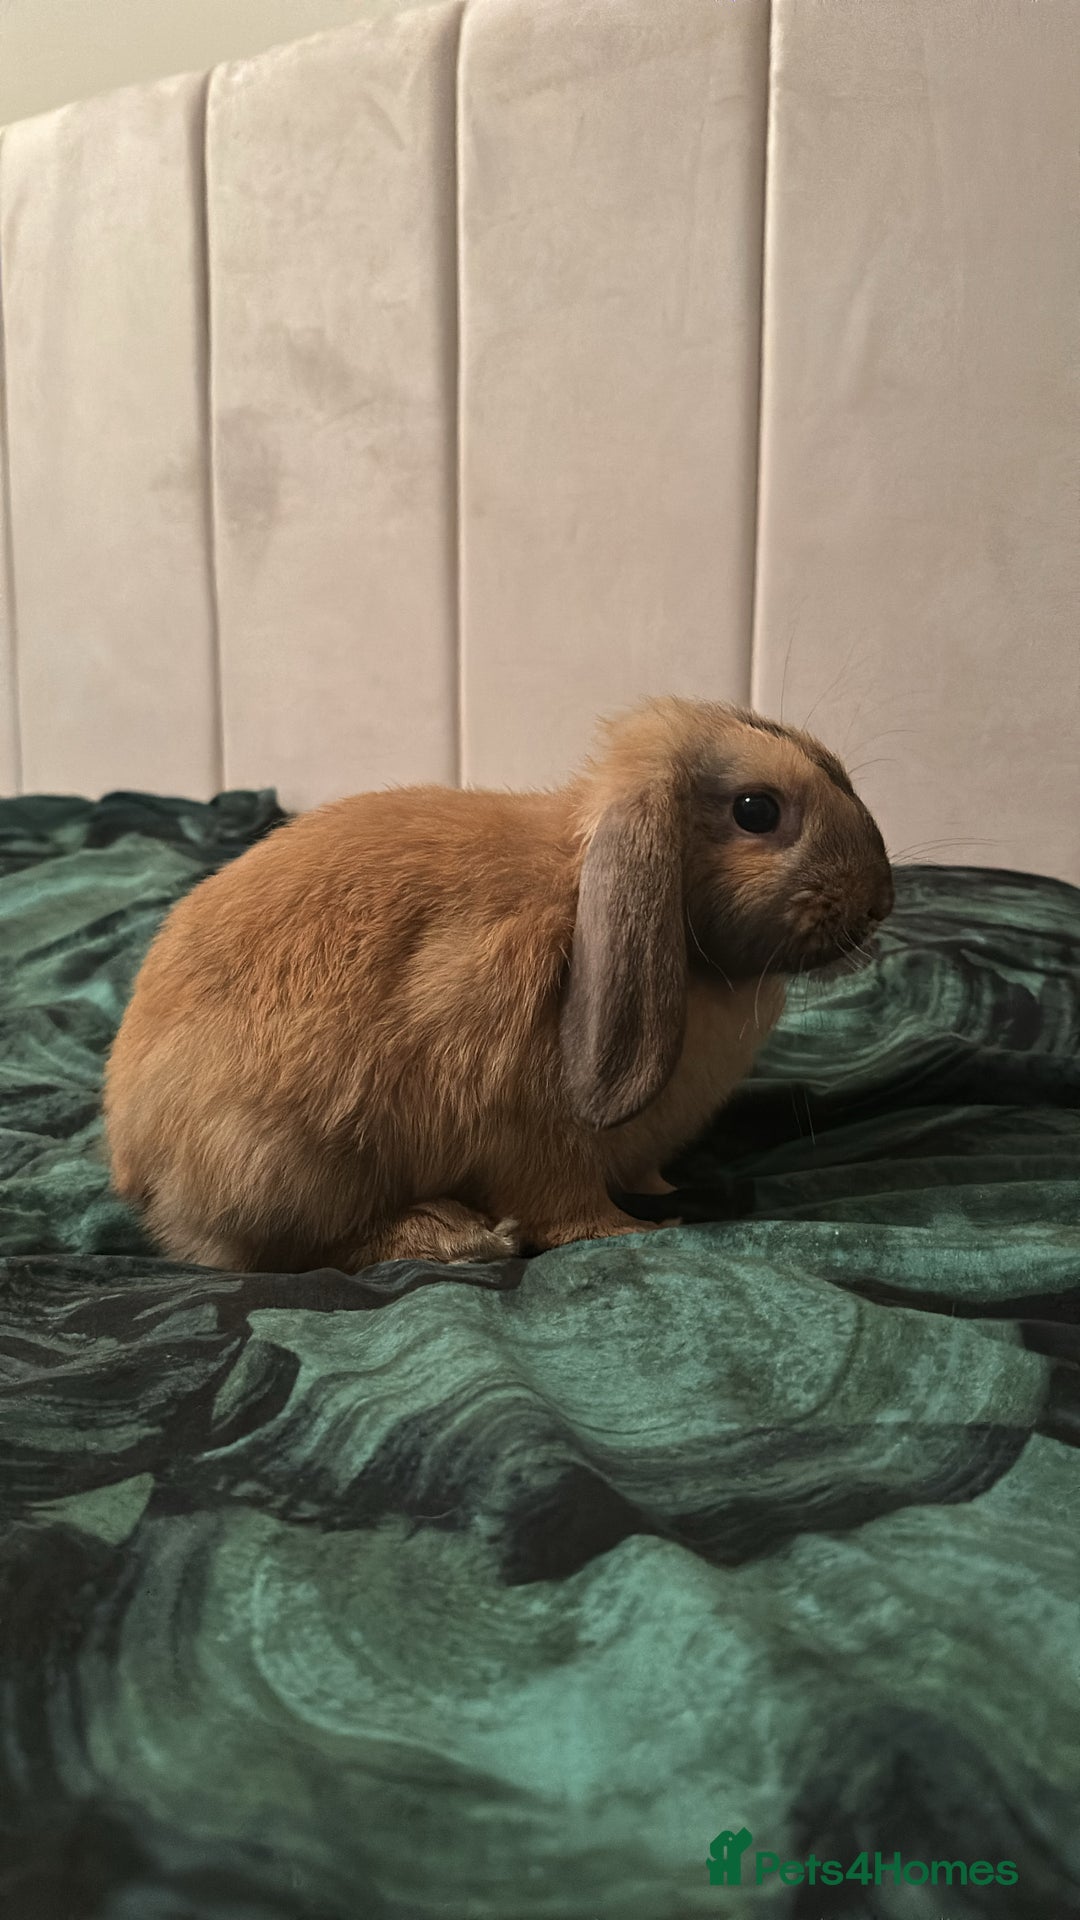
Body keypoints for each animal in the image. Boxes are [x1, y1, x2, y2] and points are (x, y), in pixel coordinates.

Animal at [103, 698, 894, 1272]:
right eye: (757, 810)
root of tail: (135, 1154)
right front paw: (635, 1231)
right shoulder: (533, 1140)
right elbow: (567, 1212)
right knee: (299, 1253)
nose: (881, 901)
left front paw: (665, 1193)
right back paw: (458, 1237)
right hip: (289, 1165)